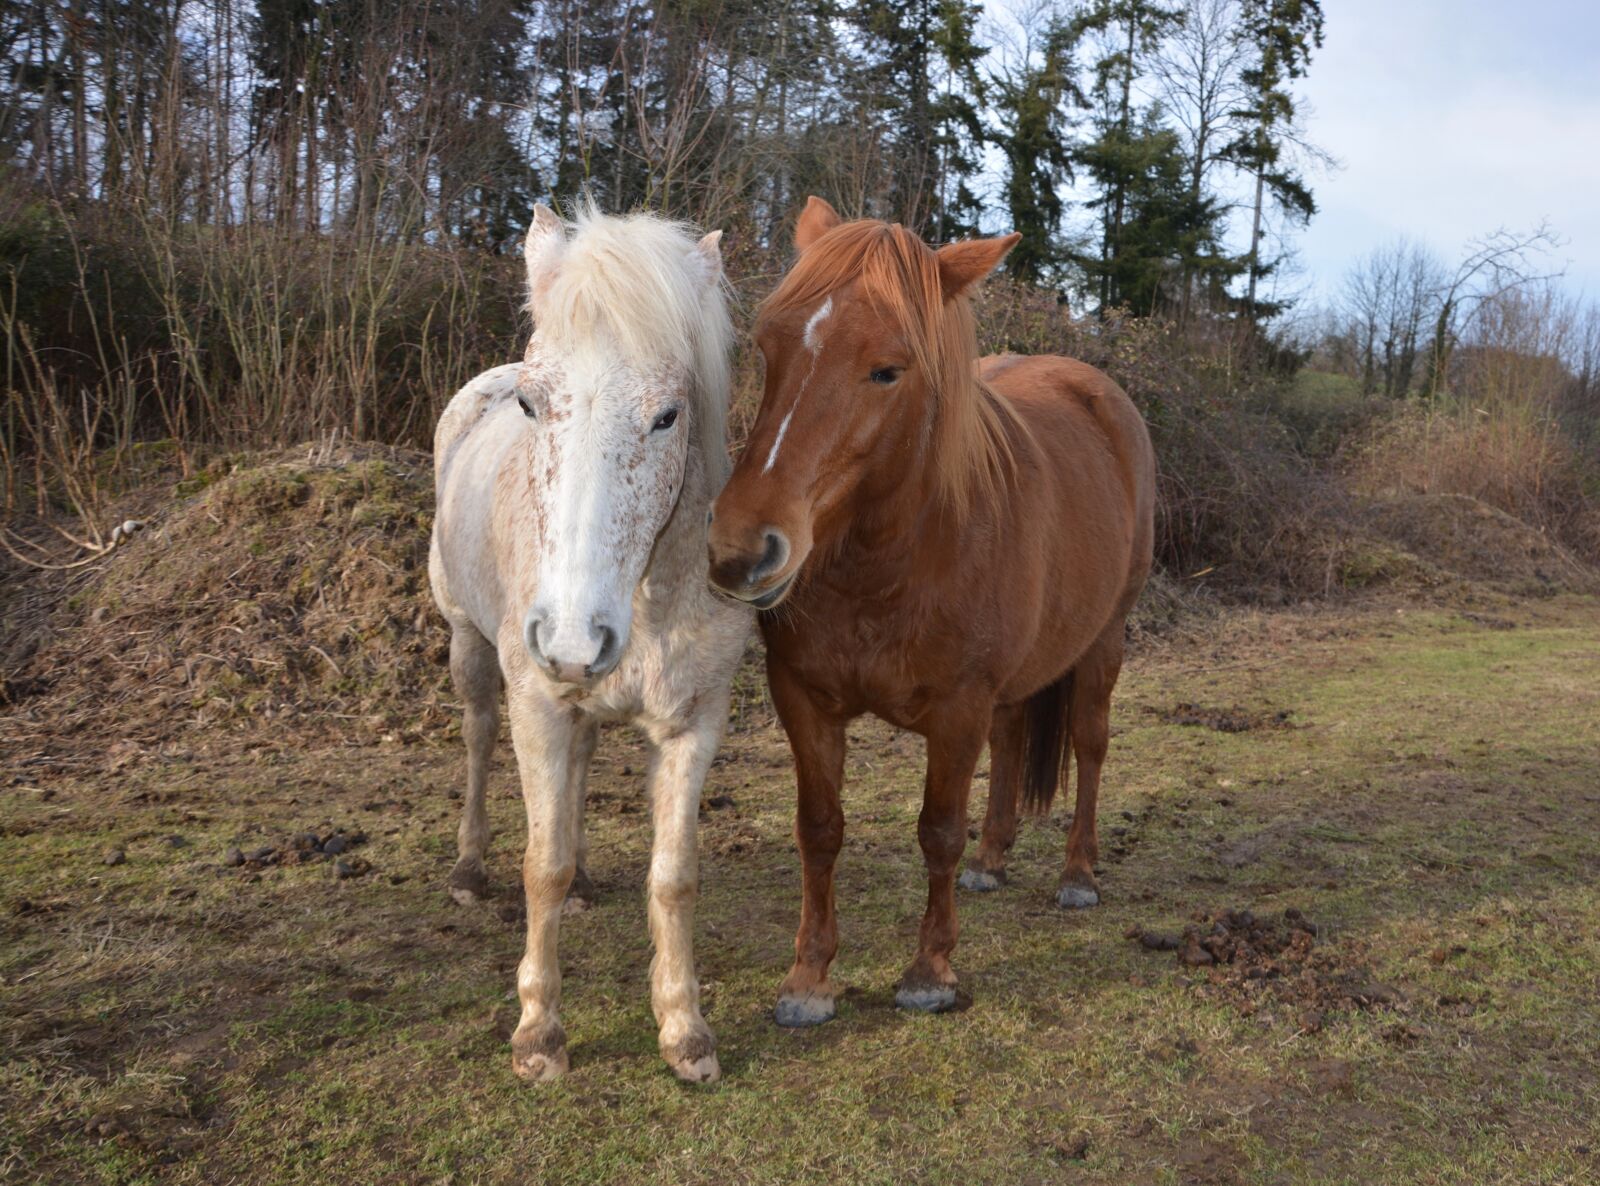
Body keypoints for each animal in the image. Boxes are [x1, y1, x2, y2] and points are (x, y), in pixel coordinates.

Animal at [429, 205, 751, 1082]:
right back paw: (469, 868)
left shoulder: (693, 722)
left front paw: (684, 1030)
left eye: (668, 415)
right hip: (469, 646)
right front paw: (538, 1035)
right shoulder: (539, 705)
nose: (572, 637)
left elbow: (673, 877)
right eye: (532, 405)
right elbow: (540, 866)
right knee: (477, 738)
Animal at [705, 197, 1155, 1024]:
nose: (740, 550)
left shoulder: (957, 708)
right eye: (767, 344)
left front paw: (930, 971)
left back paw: (1078, 874)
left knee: (1089, 745)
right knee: (1011, 741)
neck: (888, 564)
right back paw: (994, 857)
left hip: (1104, 640)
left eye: (888, 369)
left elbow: (938, 830)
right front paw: (809, 977)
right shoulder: (803, 698)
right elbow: (819, 830)